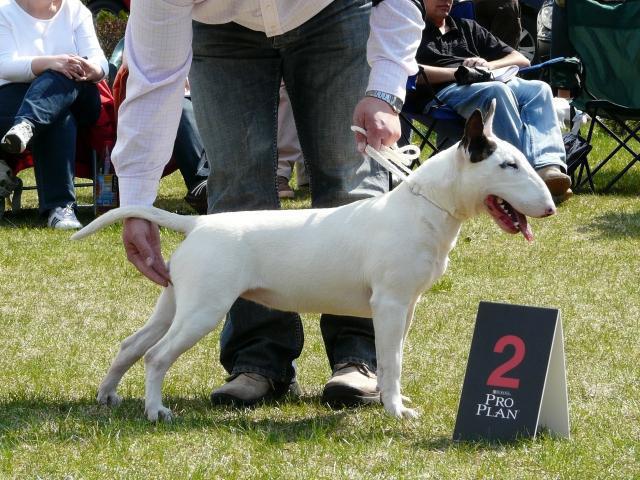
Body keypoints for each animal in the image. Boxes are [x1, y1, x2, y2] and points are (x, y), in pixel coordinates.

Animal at [72, 101, 556, 420]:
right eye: (509, 165)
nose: (551, 207)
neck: (427, 207)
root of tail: (197, 225)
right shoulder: (390, 304)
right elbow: (392, 361)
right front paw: (396, 411)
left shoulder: (407, 306)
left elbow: (393, 357)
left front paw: (393, 401)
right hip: (204, 309)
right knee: (156, 356)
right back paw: (156, 411)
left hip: (176, 301)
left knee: (131, 344)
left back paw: (107, 396)